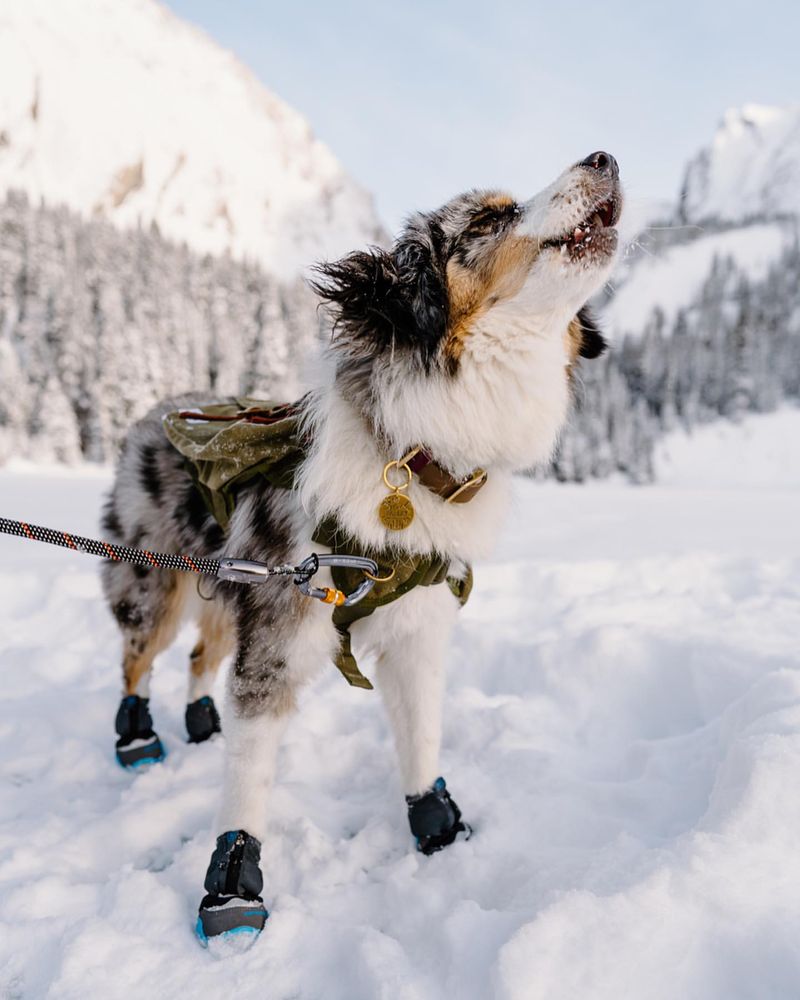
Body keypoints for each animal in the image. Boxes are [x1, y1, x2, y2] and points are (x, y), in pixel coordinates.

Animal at [100, 148, 620, 944]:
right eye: (489, 218)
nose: (604, 157)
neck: (413, 452)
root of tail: (158, 409)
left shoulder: (415, 630)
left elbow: (421, 736)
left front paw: (436, 823)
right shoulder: (280, 627)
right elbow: (250, 777)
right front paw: (231, 884)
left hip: (226, 584)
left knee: (198, 656)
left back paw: (200, 719)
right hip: (156, 583)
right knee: (138, 660)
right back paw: (138, 739)